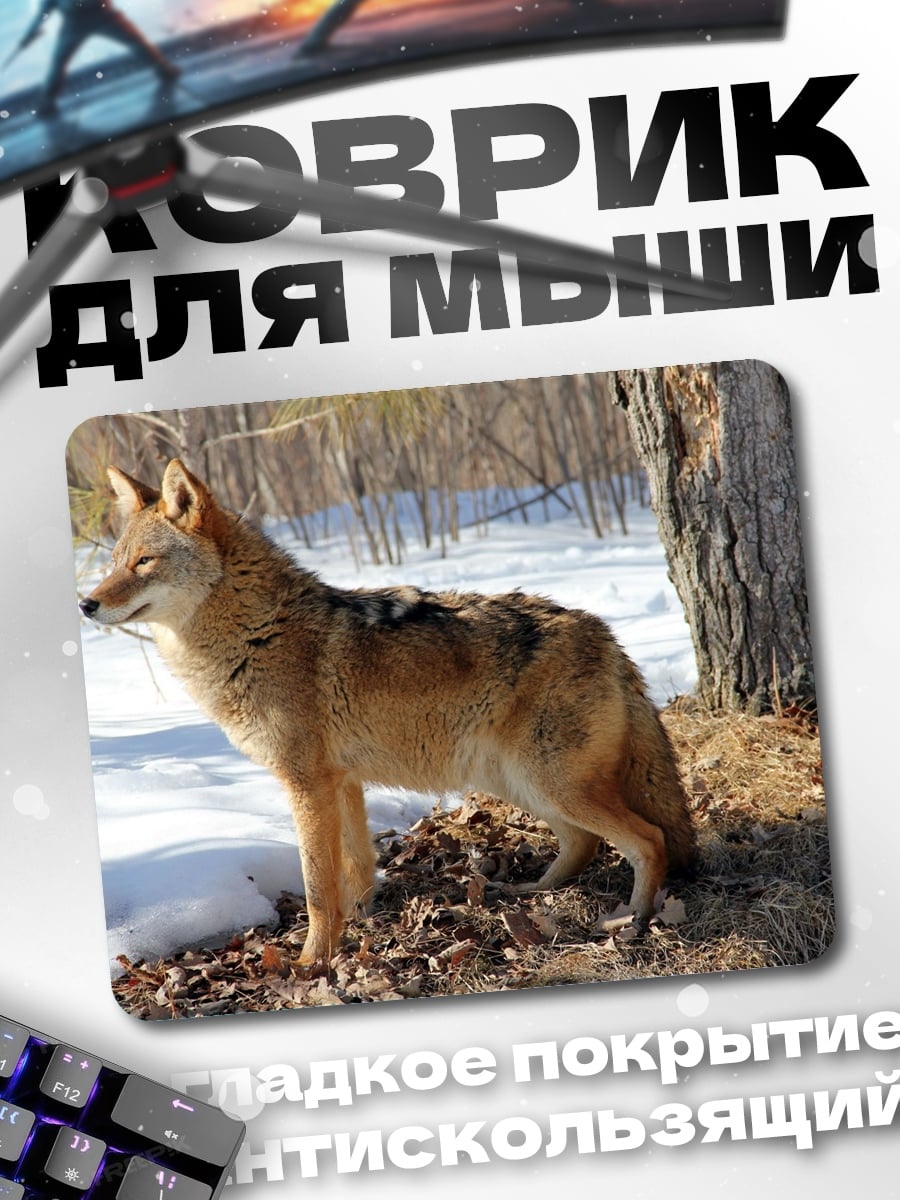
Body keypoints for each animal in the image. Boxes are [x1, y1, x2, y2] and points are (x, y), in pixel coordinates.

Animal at [79, 459, 696, 974]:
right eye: (112, 563)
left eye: (143, 562)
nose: (86, 604)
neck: (258, 633)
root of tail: (606, 635)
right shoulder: (343, 782)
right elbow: (356, 870)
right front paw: (359, 928)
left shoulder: (307, 785)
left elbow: (317, 888)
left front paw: (311, 963)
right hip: (518, 781)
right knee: (584, 841)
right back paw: (532, 893)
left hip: (546, 781)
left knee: (649, 840)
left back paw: (634, 922)